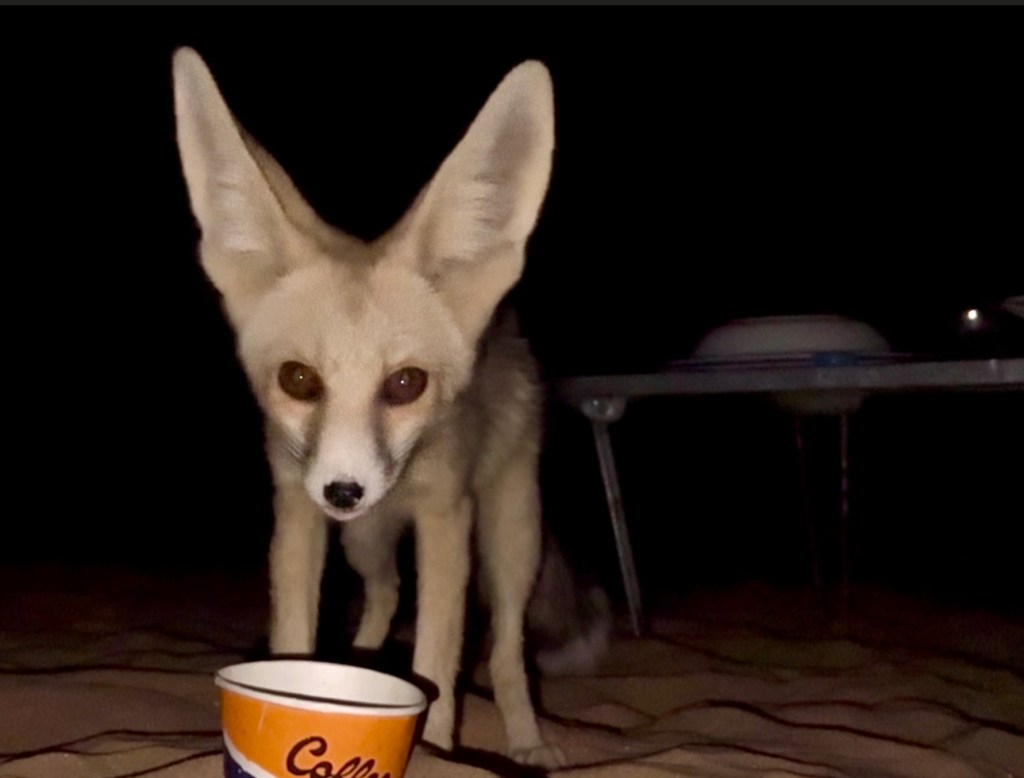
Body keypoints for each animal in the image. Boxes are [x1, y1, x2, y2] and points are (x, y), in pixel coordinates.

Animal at [172, 49, 606, 767]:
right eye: (297, 379)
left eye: (406, 384)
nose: (344, 490)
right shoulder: (297, 509)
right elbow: (295, 634)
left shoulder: (446, 517)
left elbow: (439, 662)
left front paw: (433, 750)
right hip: (364, 542)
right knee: (384, 594)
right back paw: (364, 662)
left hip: (509, 537)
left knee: (507, 650)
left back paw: (527, 741)